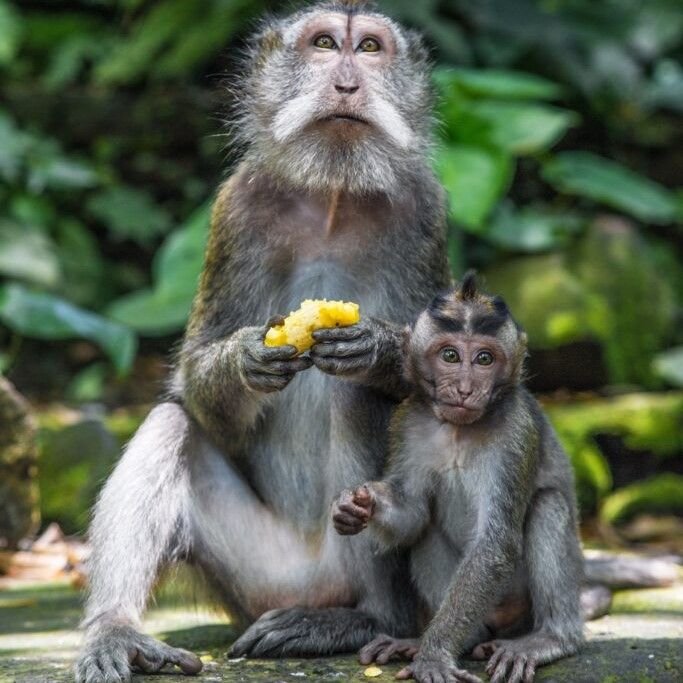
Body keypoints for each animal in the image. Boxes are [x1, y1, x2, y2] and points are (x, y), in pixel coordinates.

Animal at [74, 2, 451, 682]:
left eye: (370, 49)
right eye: (325, 44)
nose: (347, 83)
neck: (334, 197)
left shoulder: (426, 211)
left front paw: (378, 350)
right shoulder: (236, 209)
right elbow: (197, 388)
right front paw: (245, 360)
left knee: (355, 398)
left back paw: (364, 622)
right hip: (253, 579)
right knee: (170, 424)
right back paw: (116, 630)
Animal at [331, 272, 585, 683]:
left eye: (484, 358)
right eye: (450, 355)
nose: (466, 389)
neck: (457, 431)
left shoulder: (515, 434)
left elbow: (494, 545)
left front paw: (434, 656)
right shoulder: (409, 423)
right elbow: (413, 514)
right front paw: (356, 503)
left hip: (519, 606)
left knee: (548, 505)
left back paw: (551, 638)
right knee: (426, 530)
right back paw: (442, 641)